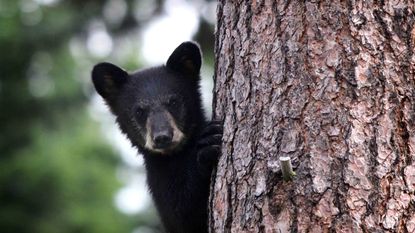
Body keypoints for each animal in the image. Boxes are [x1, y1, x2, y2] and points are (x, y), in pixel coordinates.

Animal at [91, 41, 221, 233]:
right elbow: (182, 214)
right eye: (139, 111)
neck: (175, 156)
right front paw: (207, 146)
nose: (162, 137)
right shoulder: (157, 179)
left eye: (173, 102)